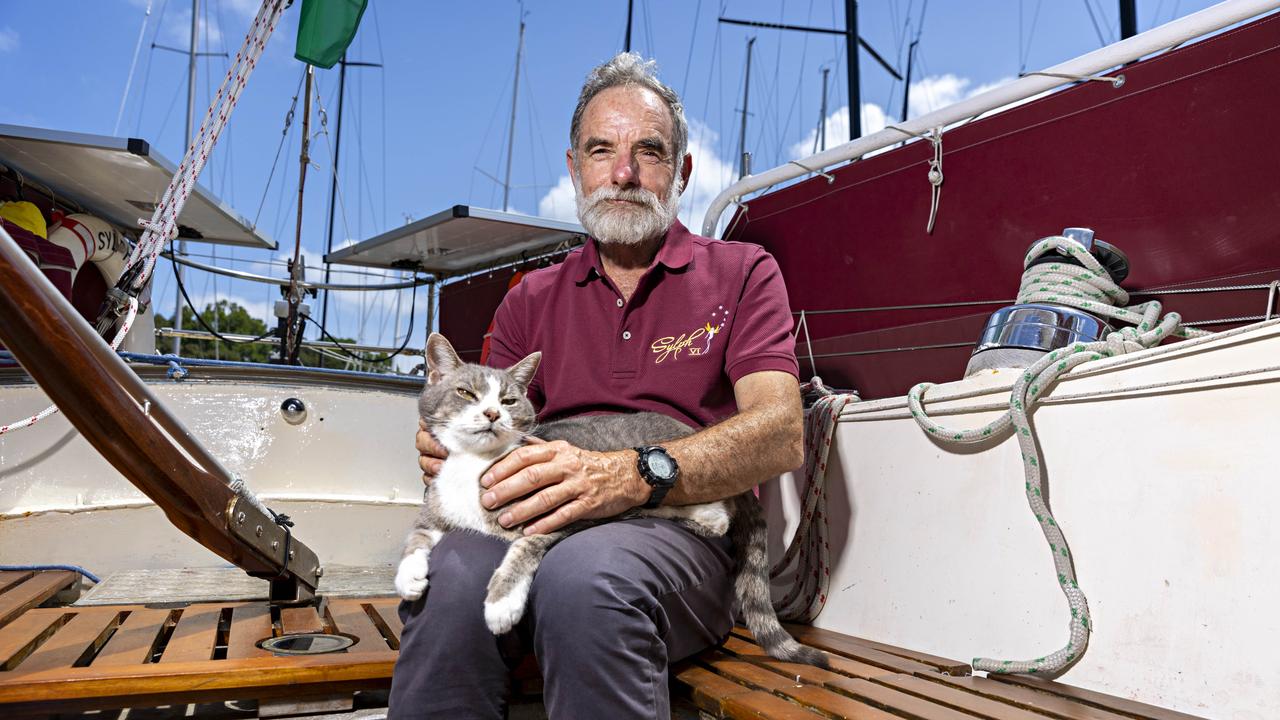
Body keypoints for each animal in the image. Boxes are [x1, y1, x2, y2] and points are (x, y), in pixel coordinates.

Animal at [394, 333, 824, 666]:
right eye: (465, 392)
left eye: (509, 401)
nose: (491, 413)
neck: (476, 464)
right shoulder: (438, 503)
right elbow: (417, 534)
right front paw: (409, 574)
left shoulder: (558, 511)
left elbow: (523, 548)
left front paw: (501, 603)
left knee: (719, 513)